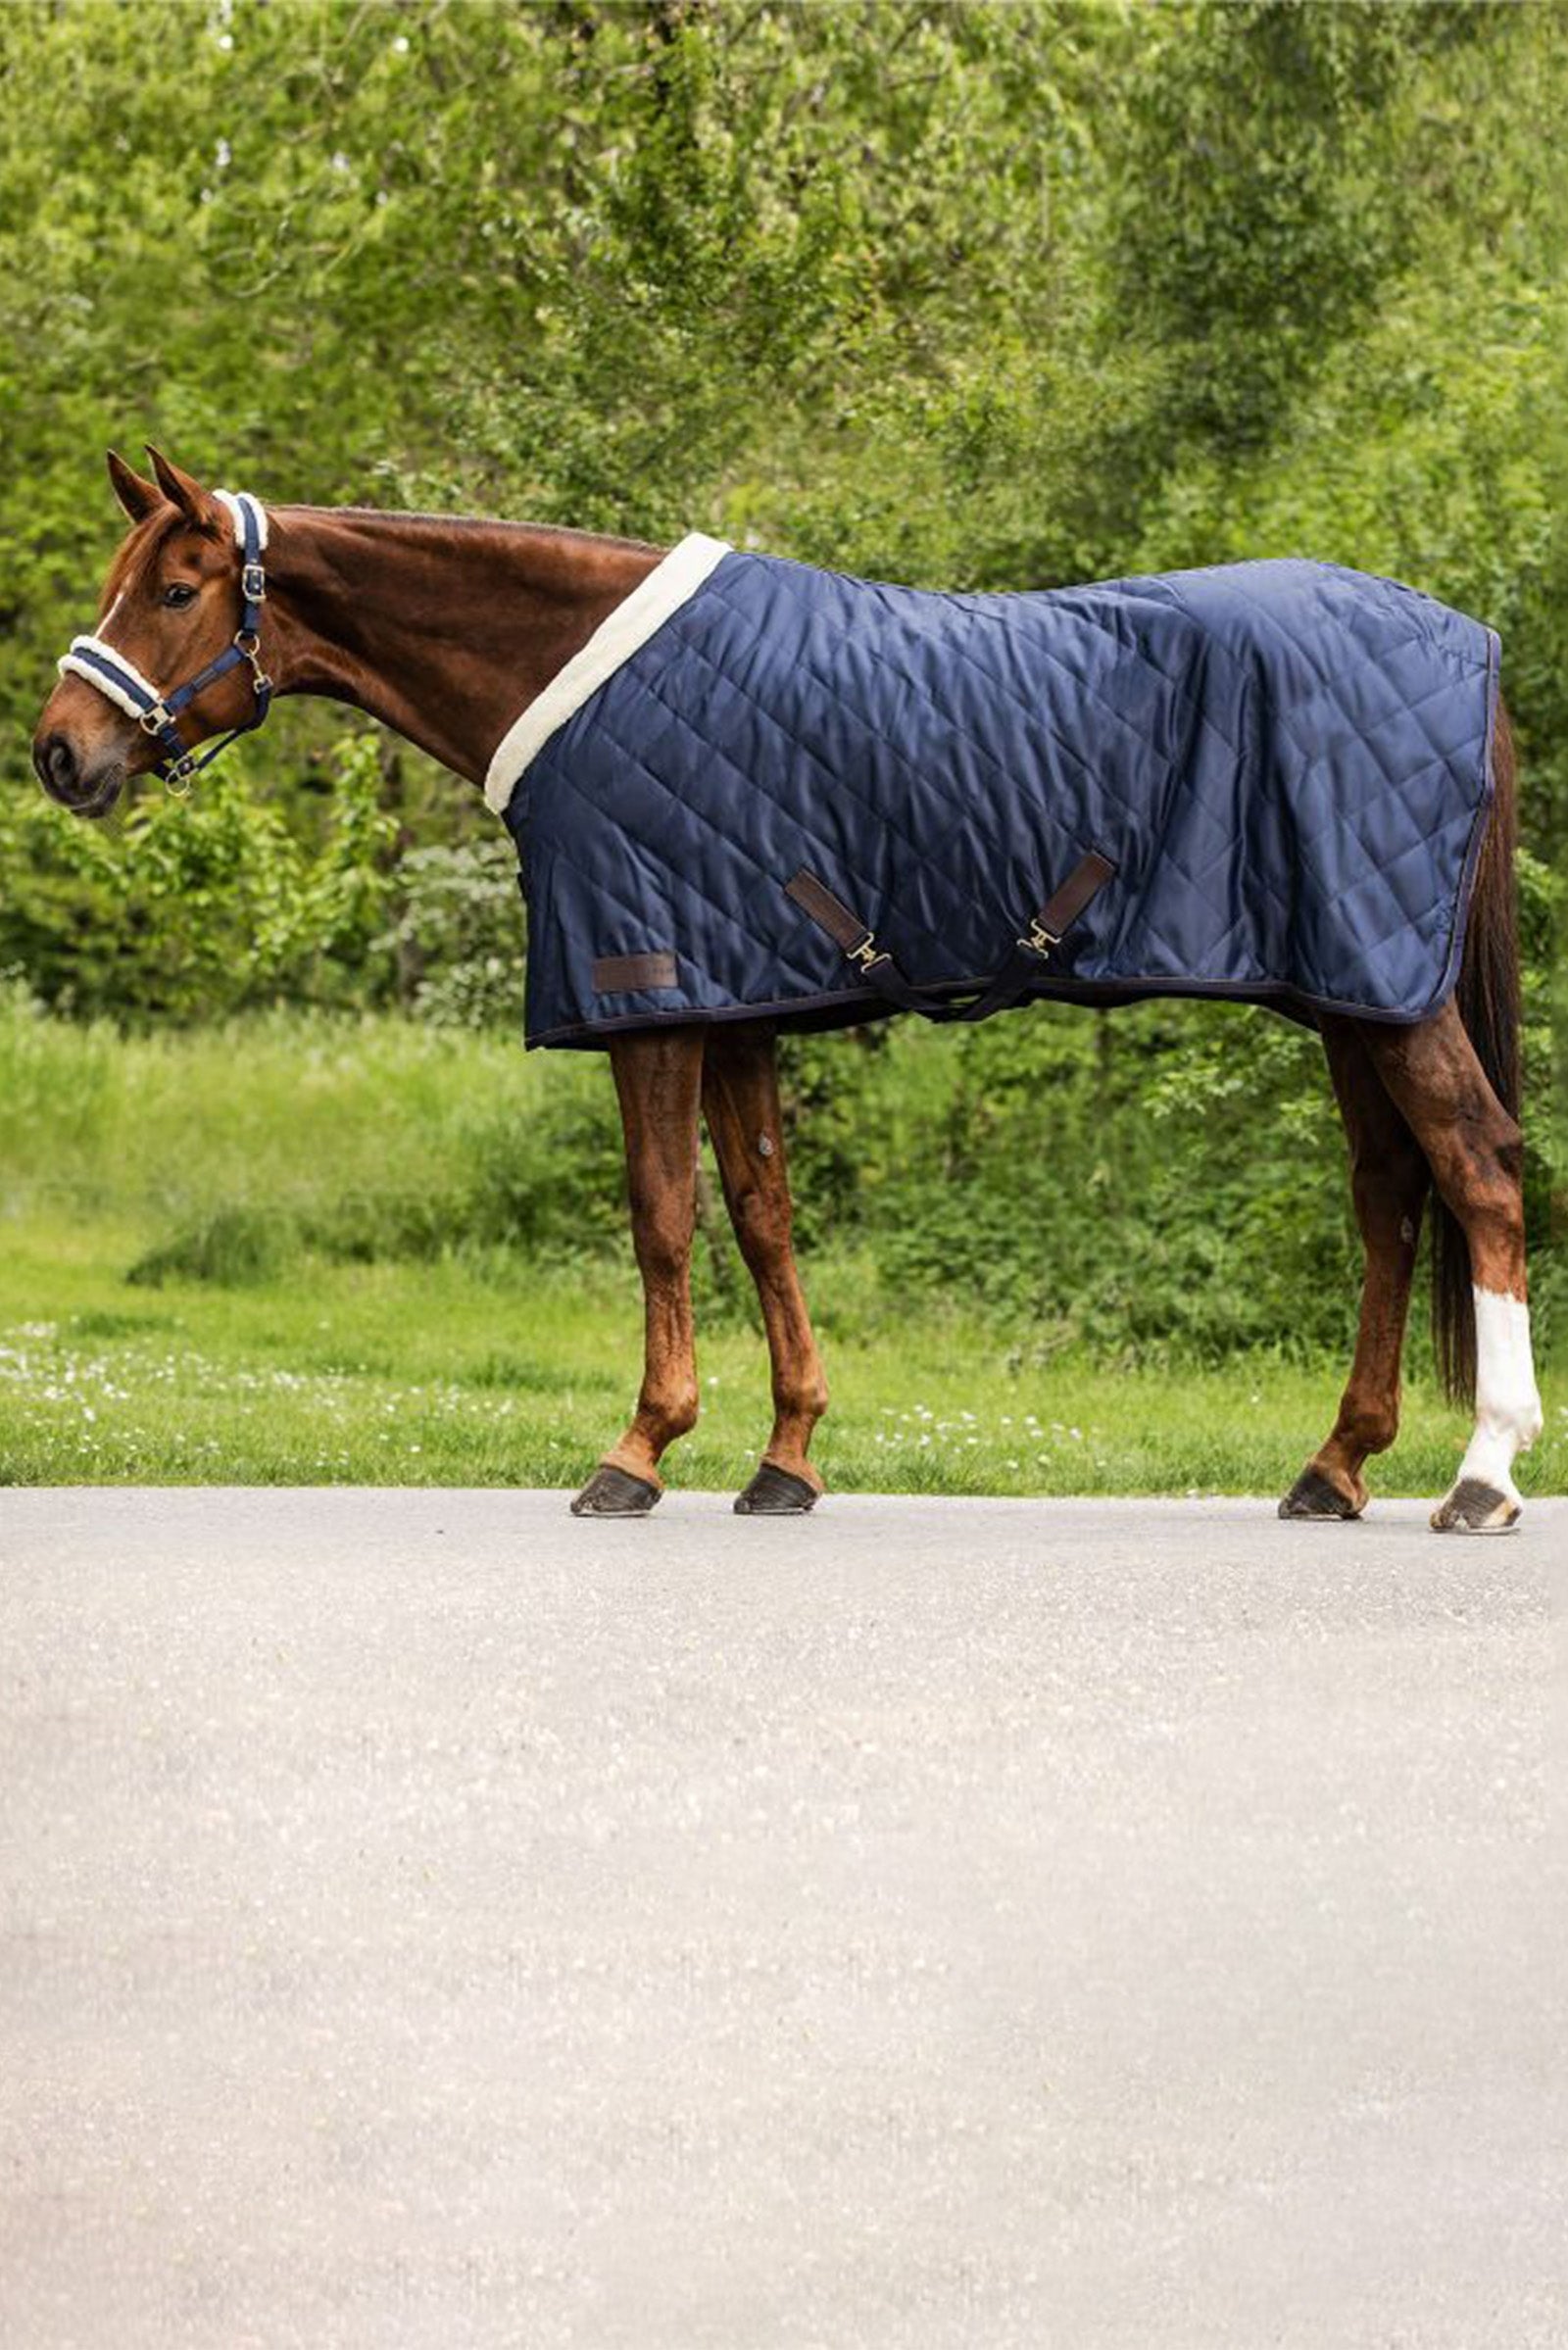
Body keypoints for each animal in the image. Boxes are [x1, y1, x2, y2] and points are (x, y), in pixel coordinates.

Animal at [30, 447, 1544, 1530]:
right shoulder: (741, 1002)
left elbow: (661, 1216)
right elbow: (762, 1217)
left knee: (1477, 1173)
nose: (59, 751)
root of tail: (1470, 644)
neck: (578, 678)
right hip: (1350, 995)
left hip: (1389, 995)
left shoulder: (653, 998)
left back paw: (1482, 1475)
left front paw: (639, 1449)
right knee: (1390, 1198)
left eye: (173, 592)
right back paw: (1337, 1465)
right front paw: (788, 1456)